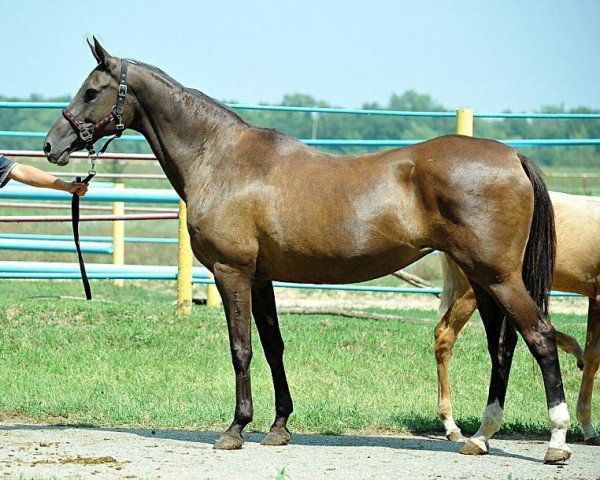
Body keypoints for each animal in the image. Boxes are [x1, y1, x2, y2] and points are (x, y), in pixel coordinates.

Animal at [44, 38, 568, 464]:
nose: (51, 146)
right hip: (482, 279)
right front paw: (278, 428)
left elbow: (241, 348)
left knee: (540, 337)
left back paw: (557, 442)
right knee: (502, 347)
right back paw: (480, 437)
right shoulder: (260, 277)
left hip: (498, 277)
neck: (219, 158)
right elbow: (273, 346)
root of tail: (511, 155)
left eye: (92, 91)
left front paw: (235, 429)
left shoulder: (231, 272)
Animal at [436, 191, 600, 446]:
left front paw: (588, 428)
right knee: (445, 336)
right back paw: (450, 425)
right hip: (474, 290)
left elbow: (592, 357)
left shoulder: (594, 297)